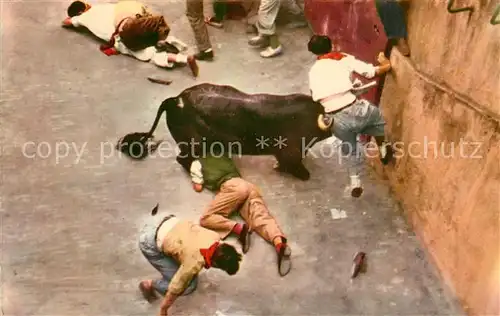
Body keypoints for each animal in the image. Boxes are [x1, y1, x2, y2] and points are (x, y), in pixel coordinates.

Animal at [117, 82, 332, 180]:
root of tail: (175, 100)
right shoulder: (290, 153)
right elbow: (295, 166)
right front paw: (302, 174)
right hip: (193, 145)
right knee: (182, 159)